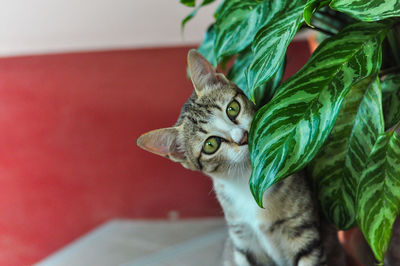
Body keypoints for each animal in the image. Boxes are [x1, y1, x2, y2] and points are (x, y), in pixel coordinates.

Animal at [137, 50, 344, 266]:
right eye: (211, 145)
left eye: (232, 108)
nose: (242, 137)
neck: (247, 180)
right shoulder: (243, 240)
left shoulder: (303, 230)